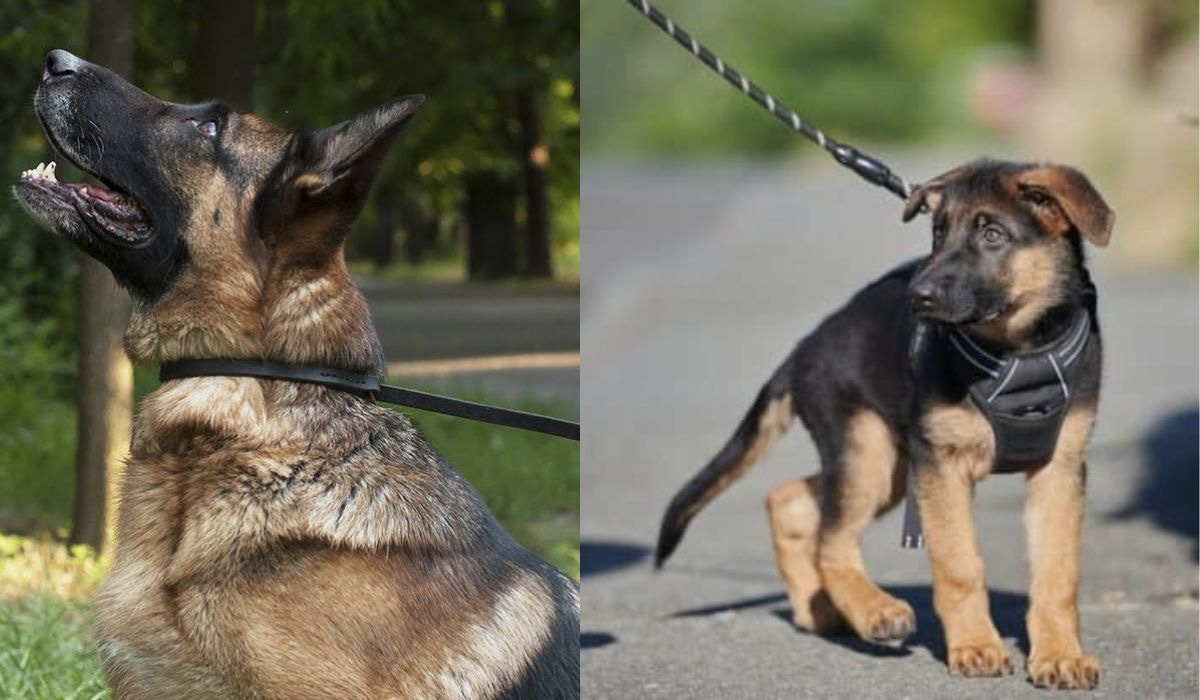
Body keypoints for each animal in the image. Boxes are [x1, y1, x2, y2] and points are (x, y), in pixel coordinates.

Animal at [657, 156, 1113, 686]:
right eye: (938, 232)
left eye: (993, 234)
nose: (919, 295)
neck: (1017, 351)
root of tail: (802, 350)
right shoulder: (942, 466)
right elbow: (960, 565)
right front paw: (975, 645)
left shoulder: (1059, 468)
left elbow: (1057, 573)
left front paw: (1059, 654)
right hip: (871, 455)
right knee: (830, 541)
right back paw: (875, 611)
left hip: (887, 463)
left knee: (790, 501)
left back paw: (819, 609)